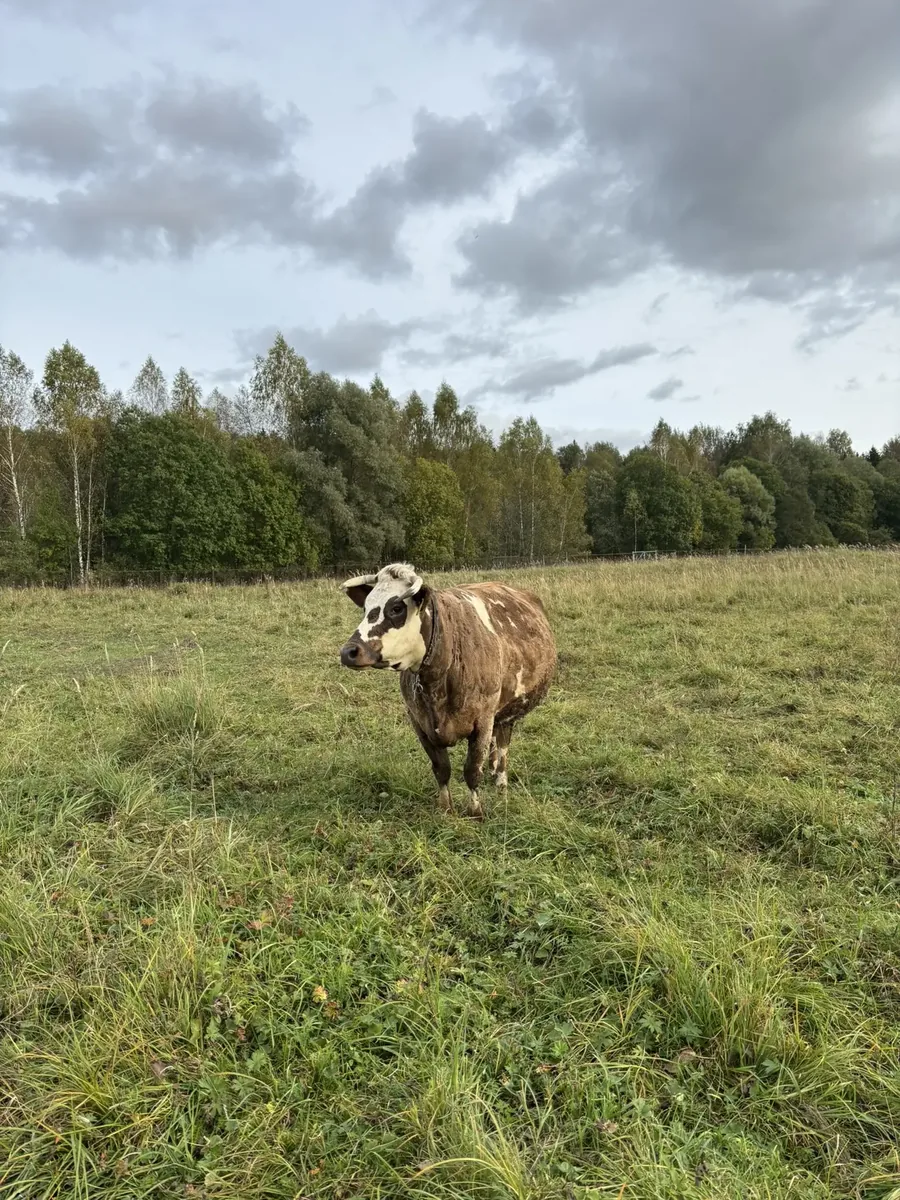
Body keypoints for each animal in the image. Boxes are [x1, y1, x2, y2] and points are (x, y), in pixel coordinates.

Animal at [338, 562, 557, 819]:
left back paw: (501, 784)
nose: (349, 652)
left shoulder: (483, 721)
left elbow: (472, 770)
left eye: (396, 608)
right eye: (365, 608)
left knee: (503, 747)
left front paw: (475, 811)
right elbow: (441, 769)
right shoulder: (419, 722)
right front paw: (445, 808)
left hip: (508, 712)